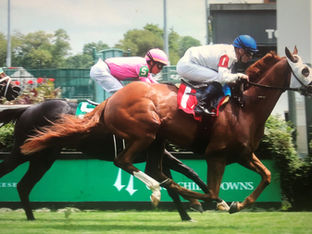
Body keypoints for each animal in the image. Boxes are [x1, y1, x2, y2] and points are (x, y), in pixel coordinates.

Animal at [0, 99, 221, 220]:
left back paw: (31, 217)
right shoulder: (157, 152)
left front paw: (192, 211)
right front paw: (211, 202)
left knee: (23, 185)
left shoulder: (159, 155)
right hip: (27, 151)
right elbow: (182, 174)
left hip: (43, 157)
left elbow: (177, 179)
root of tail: (27, 109)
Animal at [20, 47, 312, 214]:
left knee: (148, 167)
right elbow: (209, 190)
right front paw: (209, 201)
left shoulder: (243, 154)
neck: (245, 107)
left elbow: (267, 176)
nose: (311, 87)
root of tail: (109, 102)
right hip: (145, 132)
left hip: (156, 139)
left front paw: (237, 203)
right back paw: (156, 191)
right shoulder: (216, 155)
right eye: (306, 69)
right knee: (124, 161)